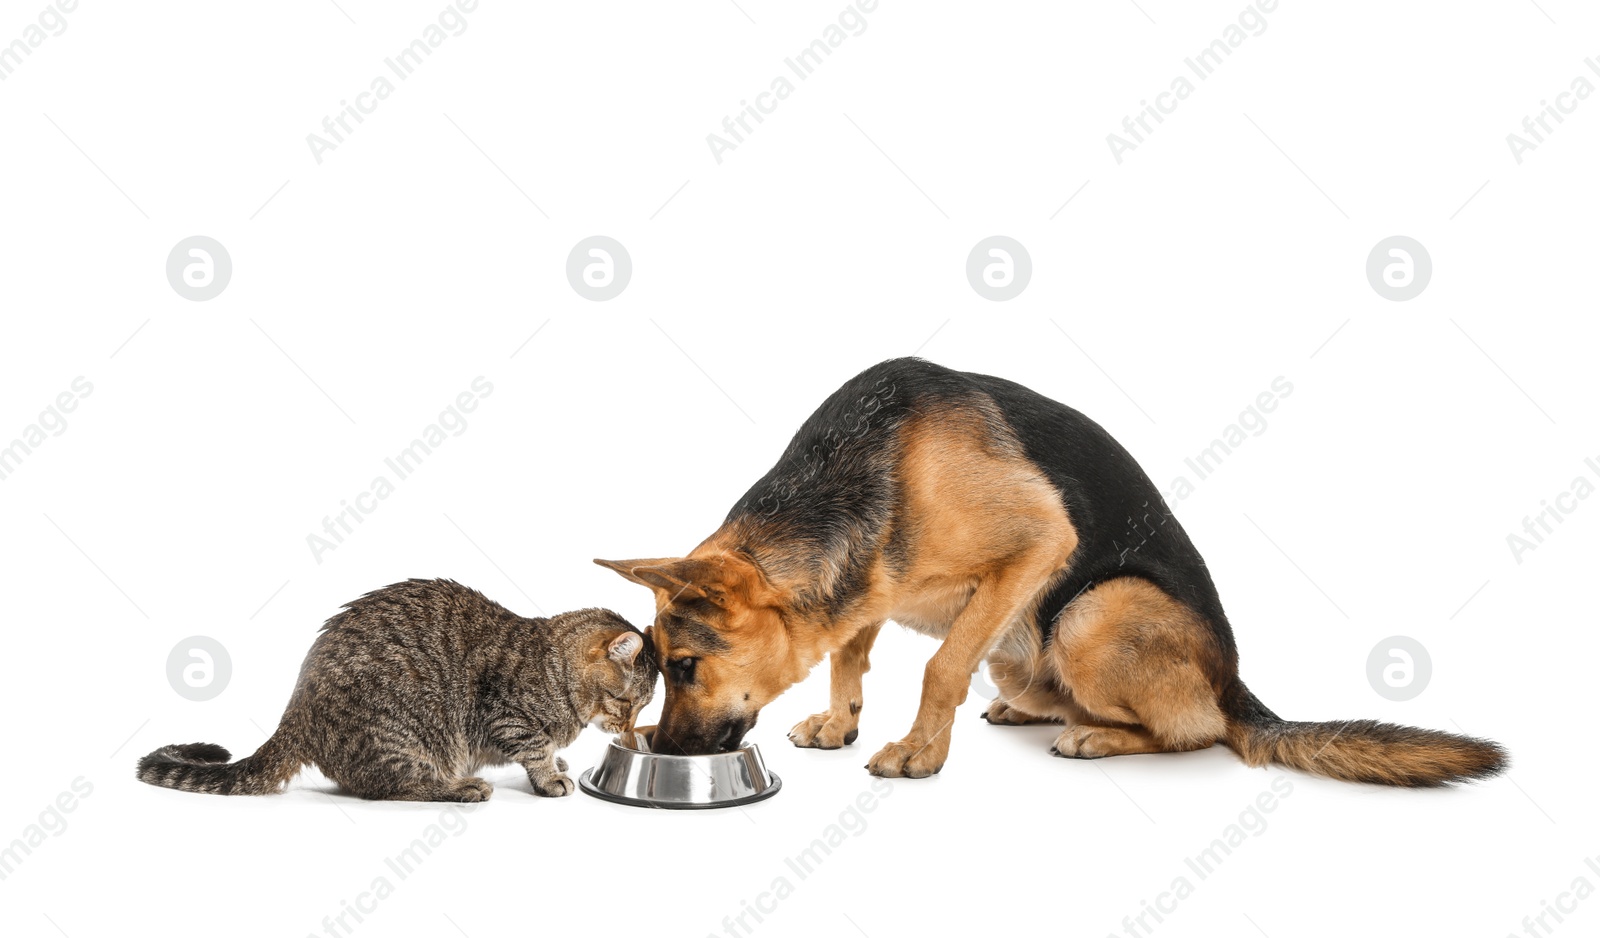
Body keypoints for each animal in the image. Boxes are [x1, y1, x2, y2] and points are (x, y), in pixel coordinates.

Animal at [137, 573, 656, 800]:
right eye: (628, 703)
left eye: (642, 707)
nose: (629, 731)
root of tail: (296, 711)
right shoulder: (506, 716)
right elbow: (533, 747)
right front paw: (549, 774)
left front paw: (557, 759)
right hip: (407, 733)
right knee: (393, 787)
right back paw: (460, 787)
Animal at [598, 358, 1497, 781]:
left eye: (685, 666)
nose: (664, 750)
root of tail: (1237, 681)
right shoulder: (873, 585)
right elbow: (851, 652)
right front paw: (841, 720)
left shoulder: (1038, 543)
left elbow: (938, 665)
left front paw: (918, 751)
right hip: (1023, 647)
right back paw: (1034, 711)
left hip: (1091, 612)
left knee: (1196, 729)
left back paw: (1095, 733)